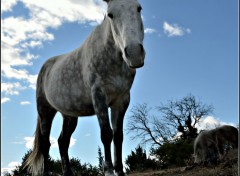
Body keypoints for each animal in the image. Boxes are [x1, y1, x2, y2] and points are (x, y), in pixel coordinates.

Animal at [24, 0, 145, 175]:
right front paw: (109, 170)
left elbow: (118, 136)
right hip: (45, 111)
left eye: (138, 8)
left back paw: (68, 172)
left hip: (69, 115)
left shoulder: (122, 100)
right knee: (46, 144)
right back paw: (46, 172)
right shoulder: (99, 97)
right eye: (110, 14)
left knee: (63, 141)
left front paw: (120, 171)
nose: (134, 53)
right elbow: (106, 134)